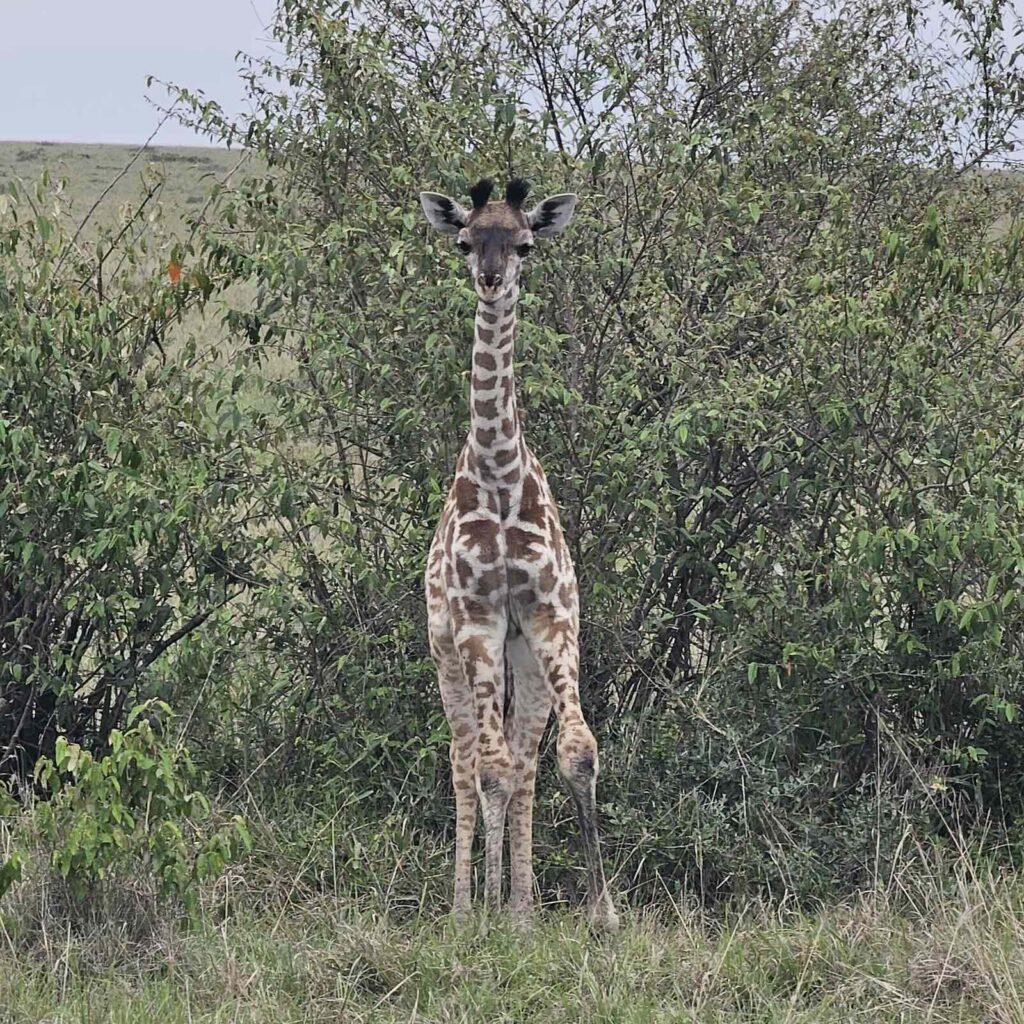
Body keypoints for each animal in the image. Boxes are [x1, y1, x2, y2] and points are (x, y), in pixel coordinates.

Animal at [419, 177, 619, 931]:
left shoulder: (550, 617)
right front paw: (484, 916)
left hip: (524, 660)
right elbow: (489, 769)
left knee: (526, 757)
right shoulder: (478, 621)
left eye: (525, 242)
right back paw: (464, 908)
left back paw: (521, 907)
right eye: (465, 240)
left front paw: (597, 913)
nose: (491, 279)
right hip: (448, 655)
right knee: (465, 760)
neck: (502, 476)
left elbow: (576, 753)